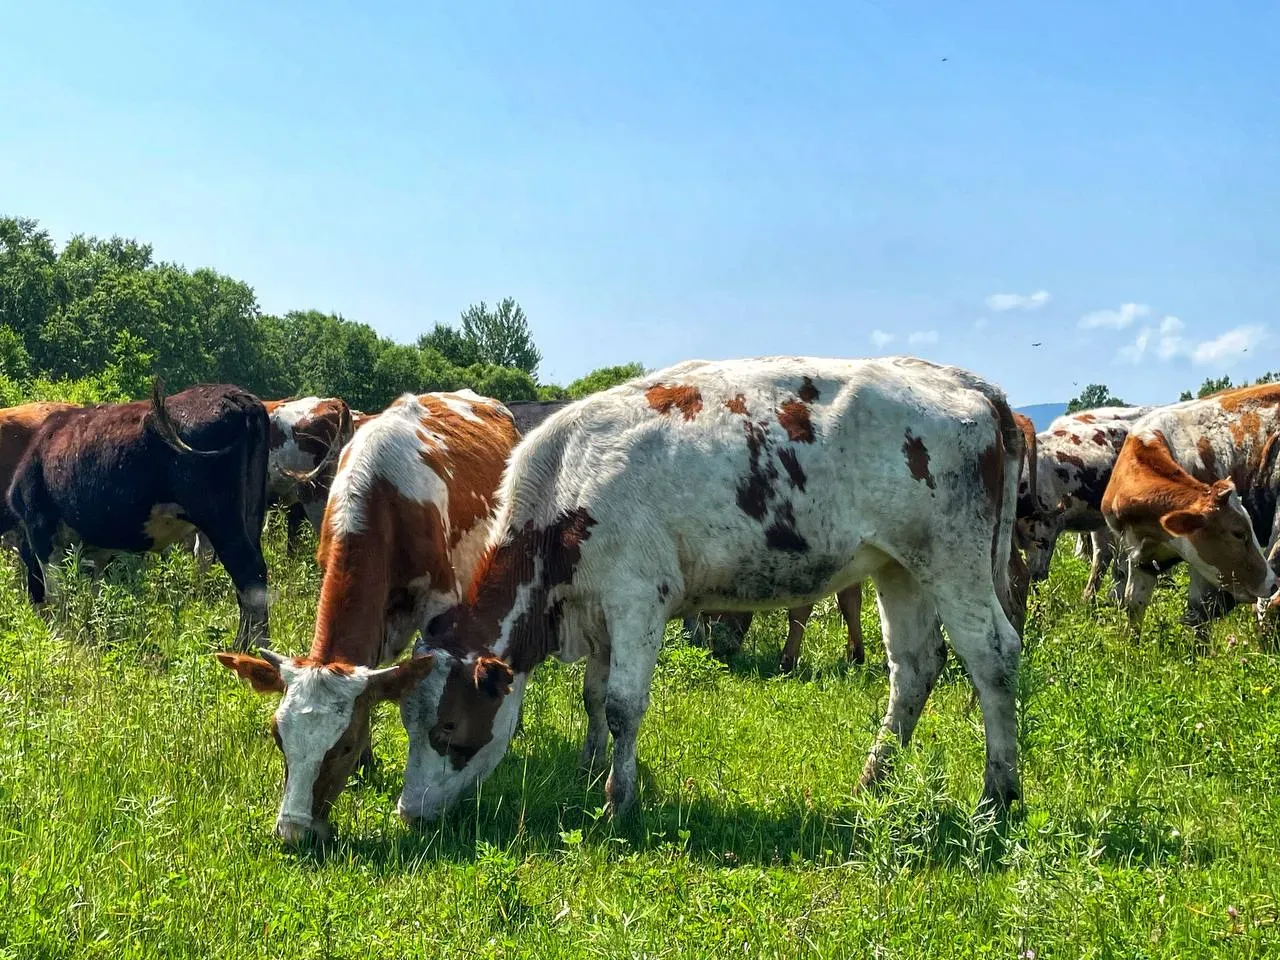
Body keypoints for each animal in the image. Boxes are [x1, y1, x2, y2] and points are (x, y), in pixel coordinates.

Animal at [394, 358, 1024, 824]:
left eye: (446, 727)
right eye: (407, 723)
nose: (408, 811)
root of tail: (967, 383)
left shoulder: (636, 598)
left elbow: (623, 706)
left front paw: (618, 801)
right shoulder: (598, 610)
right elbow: (593, 696)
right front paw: (590, 769)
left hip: (954, 559)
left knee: (993, 654)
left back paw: (998, 793)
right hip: (900, 566)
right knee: (915, 665)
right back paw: (874, 778)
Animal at [1100, 384, 1280, 640]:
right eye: (1238, 533)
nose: (1272, 583)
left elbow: (1197, 611)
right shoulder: (1141, 557)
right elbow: (1133, 605)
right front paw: (1130, 645)